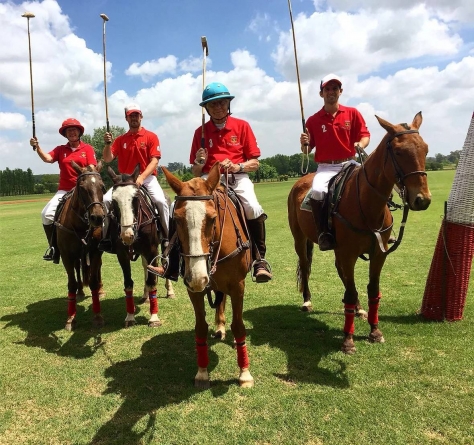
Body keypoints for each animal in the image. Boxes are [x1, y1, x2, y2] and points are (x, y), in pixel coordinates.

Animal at [56, 161, 106, 332]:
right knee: (77, 268)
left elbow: (93, 282)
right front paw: (70, 318)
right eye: (82, 188)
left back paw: (100, 289)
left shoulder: (95, 252)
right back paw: (80, 291)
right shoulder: (66, 255)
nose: (97, 217)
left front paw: (97, 317)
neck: (80, 225)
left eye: (103, 187)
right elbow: (71, 283)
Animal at [106, 165, 175, 328]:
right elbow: (128, 283)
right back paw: (145, 296)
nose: (127, 235)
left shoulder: (152, 250)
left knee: (164, 261)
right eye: (114, 200)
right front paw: (130, 316)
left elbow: (152, 281)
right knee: (146, 267)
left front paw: (154, 318)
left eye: (136, 197)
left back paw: (169, 291)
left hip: (164, 242)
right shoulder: (122, 254)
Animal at [160, 163, 256, 388]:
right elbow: (200, 327)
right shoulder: (193, 289)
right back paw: (219, 327)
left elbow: (239, 326)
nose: (198, 278)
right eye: (176, 220)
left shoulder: (238, 285)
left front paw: (245, 374)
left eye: (212, 219)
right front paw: (202, 373)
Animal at [286, 112, 432, 354]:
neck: (366, 202)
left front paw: (375, 331)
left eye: (426, 149)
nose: (422, 200)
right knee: (306, 265)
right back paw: (307, 301)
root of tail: (302, 179)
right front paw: (348, 340)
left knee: (342, 274)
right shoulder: (348, 252)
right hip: (300, 237)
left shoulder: (378, 253)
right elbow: (350, 291)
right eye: (399, 152)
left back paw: (359, 308)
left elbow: (373, 290)